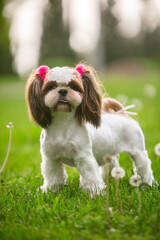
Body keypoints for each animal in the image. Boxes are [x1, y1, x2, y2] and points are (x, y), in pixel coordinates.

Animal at [25, 64, 155, 196]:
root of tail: (122, 114)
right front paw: (51, 191)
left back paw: (147, 185)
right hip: (110, 154)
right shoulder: (51, 159)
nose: (62, 91)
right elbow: (53, 177)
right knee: (113, 165)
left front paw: (95, 192)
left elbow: (90, 176)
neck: (63, 125)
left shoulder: (84, 157)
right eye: (51, 86)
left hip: (137, 151)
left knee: (144, 166)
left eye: (73, 86)